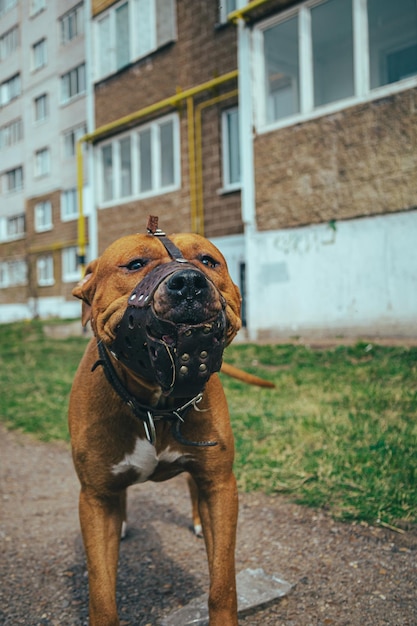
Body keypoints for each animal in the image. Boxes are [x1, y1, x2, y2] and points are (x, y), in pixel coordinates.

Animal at [68, 222, 244, 620]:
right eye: (135, 264)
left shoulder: (221, 486)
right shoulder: (95, 501)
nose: (189, 282)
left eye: (208, 260)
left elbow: (222, 584)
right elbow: (102, 595)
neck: (156, 406)